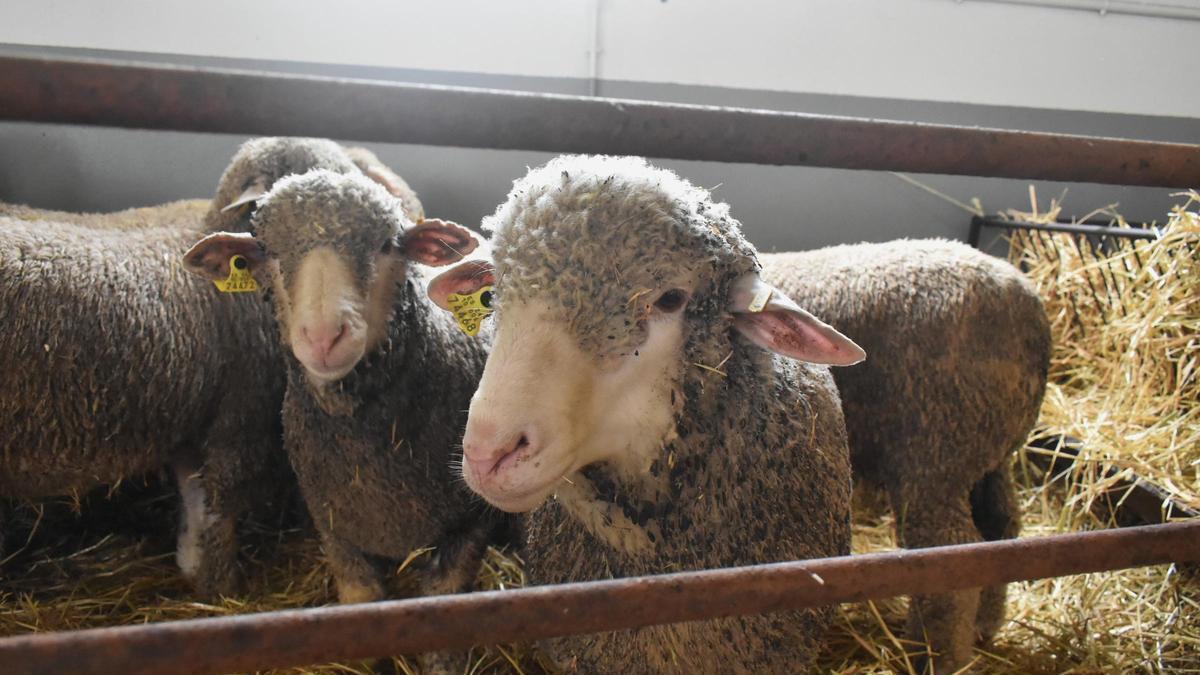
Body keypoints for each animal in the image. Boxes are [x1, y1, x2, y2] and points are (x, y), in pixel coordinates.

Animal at [0, 137, 374, 596]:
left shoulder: (198, 415)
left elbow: (193, 494)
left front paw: (193, 566)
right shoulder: (238, 417)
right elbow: (220, 504)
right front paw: (222, 585)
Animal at [759, 241, 1050, 671]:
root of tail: (1030, 312)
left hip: (936, 446)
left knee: (947, 554)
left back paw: (934, 657)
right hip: (988, 452)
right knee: (1000, 529)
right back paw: (984, 628)